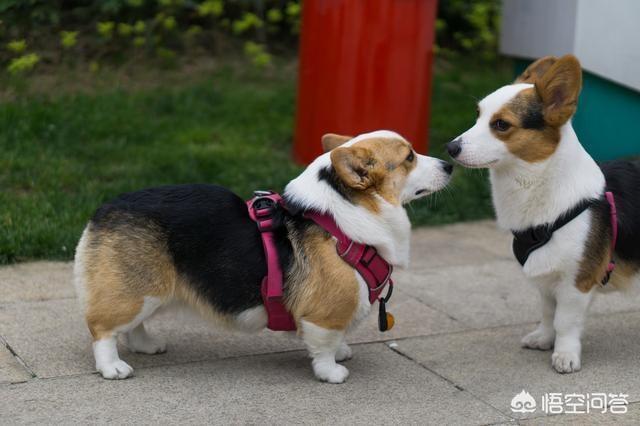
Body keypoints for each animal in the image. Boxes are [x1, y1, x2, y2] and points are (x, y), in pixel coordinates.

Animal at [75, 130, 452, 382]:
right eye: (409, 157)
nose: (449, 163)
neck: (346, 216)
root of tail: (102, 211)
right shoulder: (322, 314)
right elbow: (325, 344)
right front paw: (332, 371)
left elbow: (338, 337)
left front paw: (342, 351)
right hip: (137, 292)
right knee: (102, 328)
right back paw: (112, 367)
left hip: (150, 292)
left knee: (132, 325)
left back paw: (146, 344)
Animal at [448, 55, 640, 372]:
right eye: (477, 114)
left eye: (501, 124)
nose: (450, 147)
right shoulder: (547, 280)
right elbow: (549, 313)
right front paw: (544, 338)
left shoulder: (576, 282)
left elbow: (565, 322)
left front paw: (565, 354)